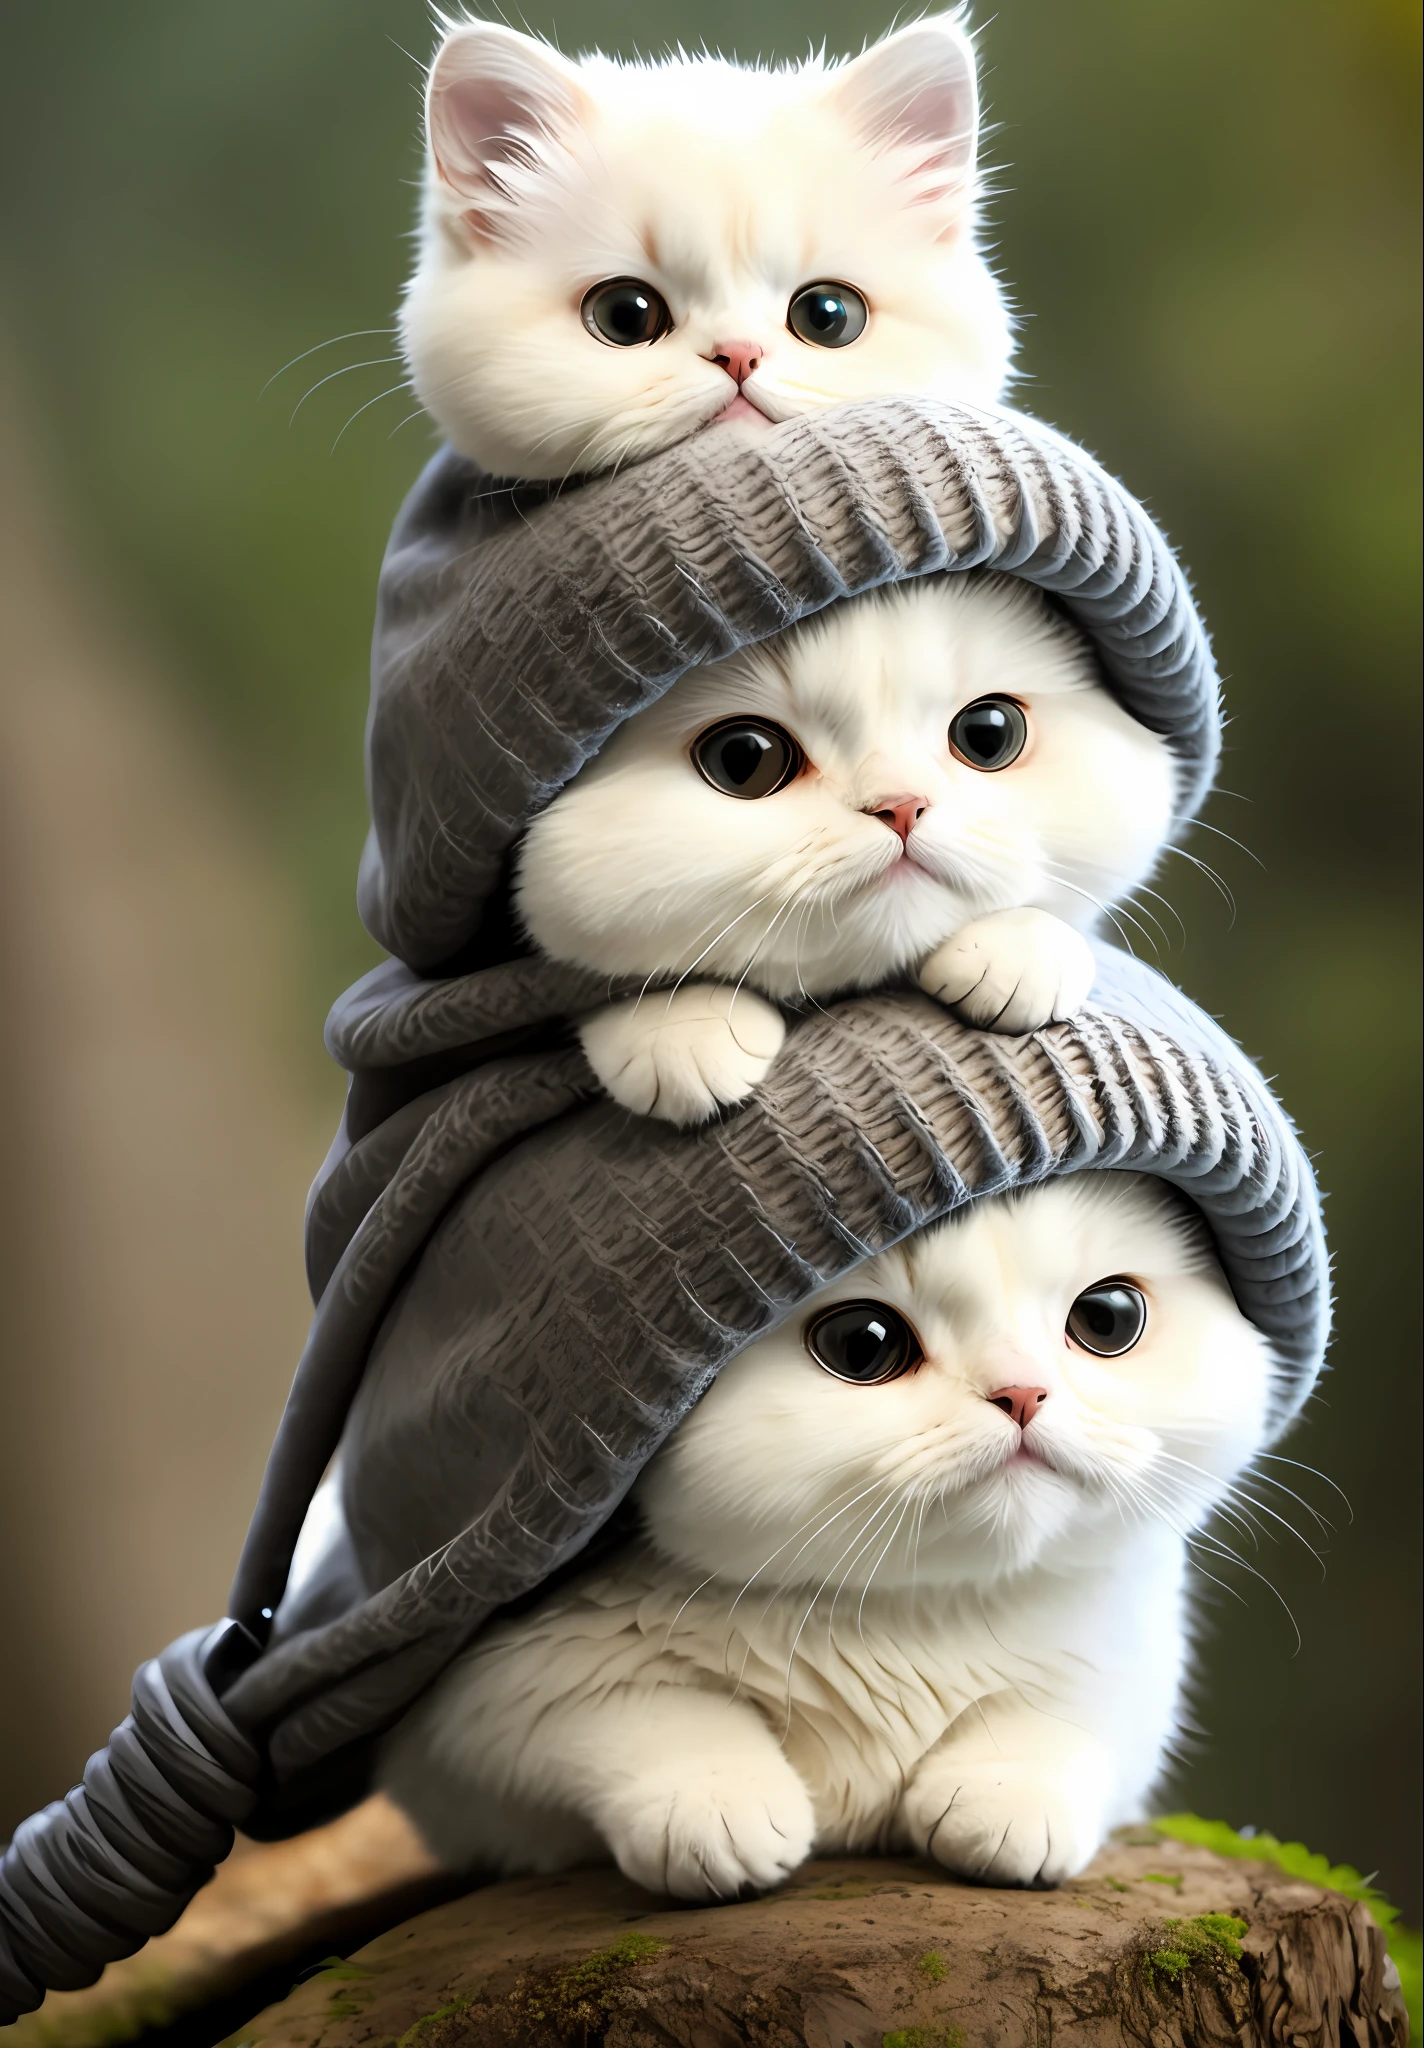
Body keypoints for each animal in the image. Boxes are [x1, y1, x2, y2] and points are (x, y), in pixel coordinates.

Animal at [385, 1179, 1278, 1892]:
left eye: (1106, 1318)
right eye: (864, 1344)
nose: (1023, 1392)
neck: (901, 1617)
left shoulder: (1126, 1656)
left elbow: (1061, 1720)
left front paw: (1007, 1796)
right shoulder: (494, 1694)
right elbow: (646, 1710)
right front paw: (718, 1799)